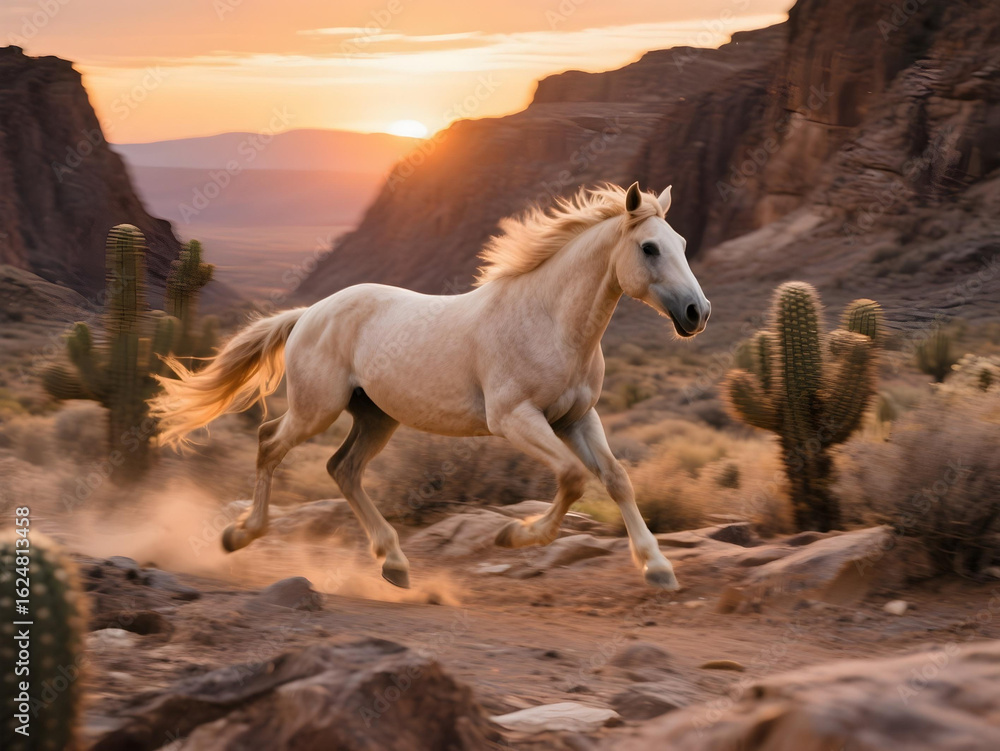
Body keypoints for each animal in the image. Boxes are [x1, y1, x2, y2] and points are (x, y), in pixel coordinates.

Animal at [149, 182, 711, 590]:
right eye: (649, 247)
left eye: (683, 245)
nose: (697, 312)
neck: (550, 321)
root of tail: (309, 312)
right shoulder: (515, 419)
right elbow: (573, 478)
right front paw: (512, 536)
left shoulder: (576, 419)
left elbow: (616, 479)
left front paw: (658, 568)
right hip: (317, 409)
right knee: (270, 443)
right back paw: (240, 534)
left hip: (375, 417)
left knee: (342, 469)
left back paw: (393, 562)